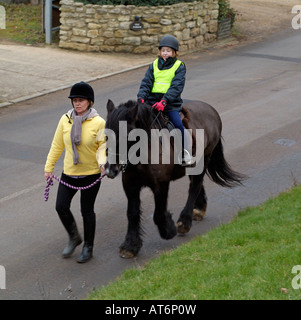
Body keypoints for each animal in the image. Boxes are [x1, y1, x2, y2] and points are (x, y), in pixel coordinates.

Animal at [104, 99, 243, 258]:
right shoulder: (130, 185)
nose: (110, 170)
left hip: (204, 159)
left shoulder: (161, 184)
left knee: (194, 187)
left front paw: (168, 230)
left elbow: (158, 214)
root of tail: (211, 109)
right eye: (106, 135)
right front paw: (130, 245)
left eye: (126, 136)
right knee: (196, 184)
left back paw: (185, 221)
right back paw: (199, 209)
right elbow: (132, 213)